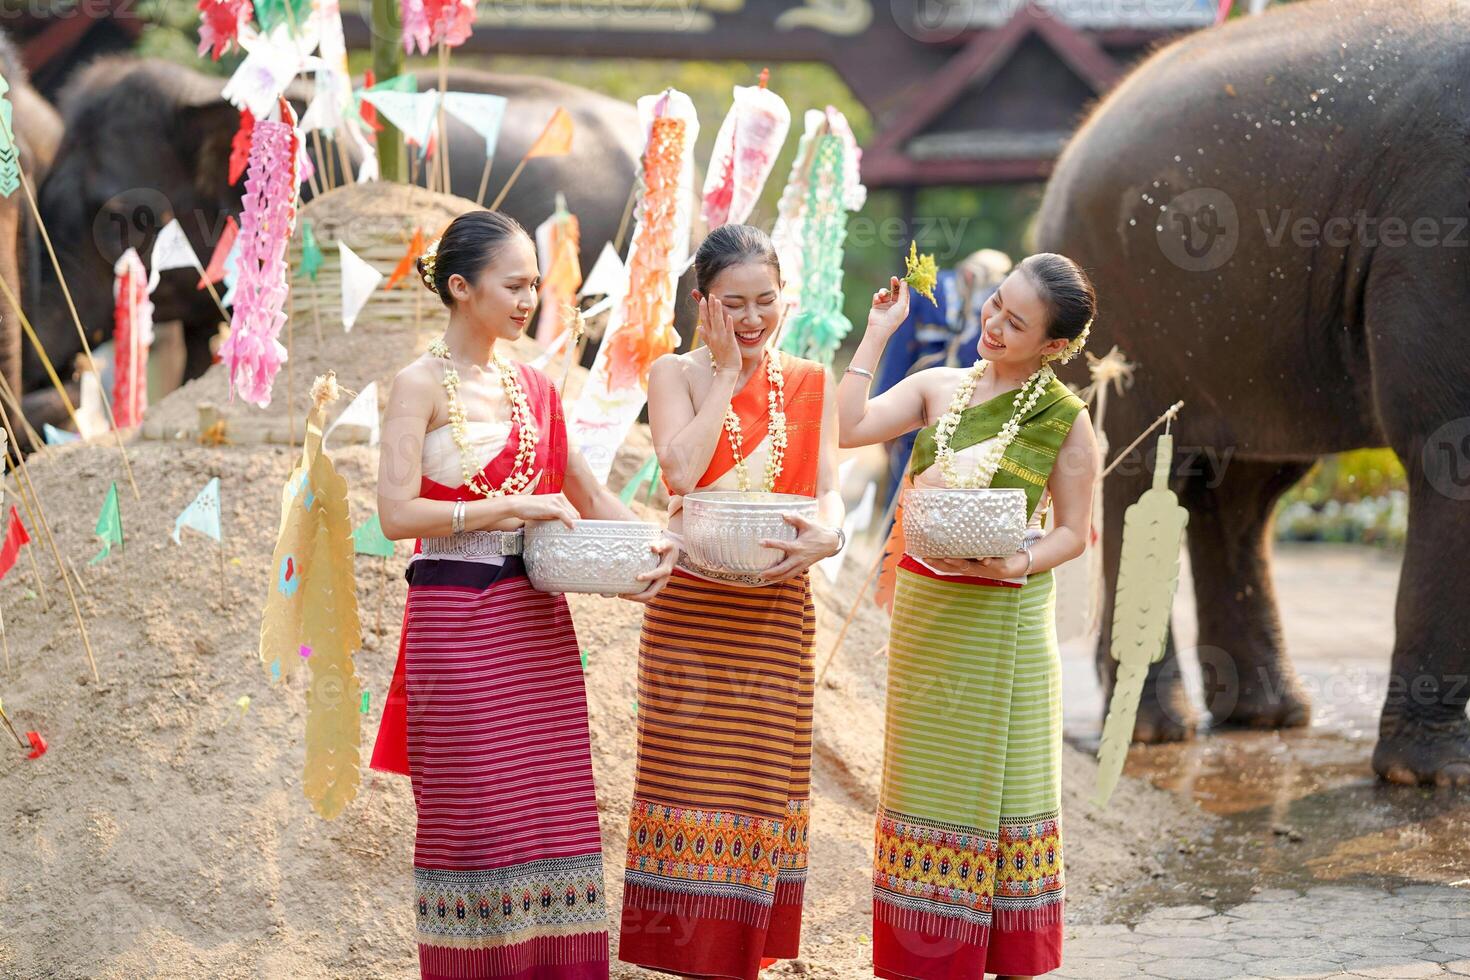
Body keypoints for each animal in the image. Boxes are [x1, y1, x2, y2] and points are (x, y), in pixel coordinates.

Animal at [1034, 0, 1470, 787]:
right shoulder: (1437, 238)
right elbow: (1447, 444)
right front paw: (1433, 783)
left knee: (1240, 491)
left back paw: (1268, 718)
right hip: (1124, 313)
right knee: (1140, 475)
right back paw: (1158, 732)